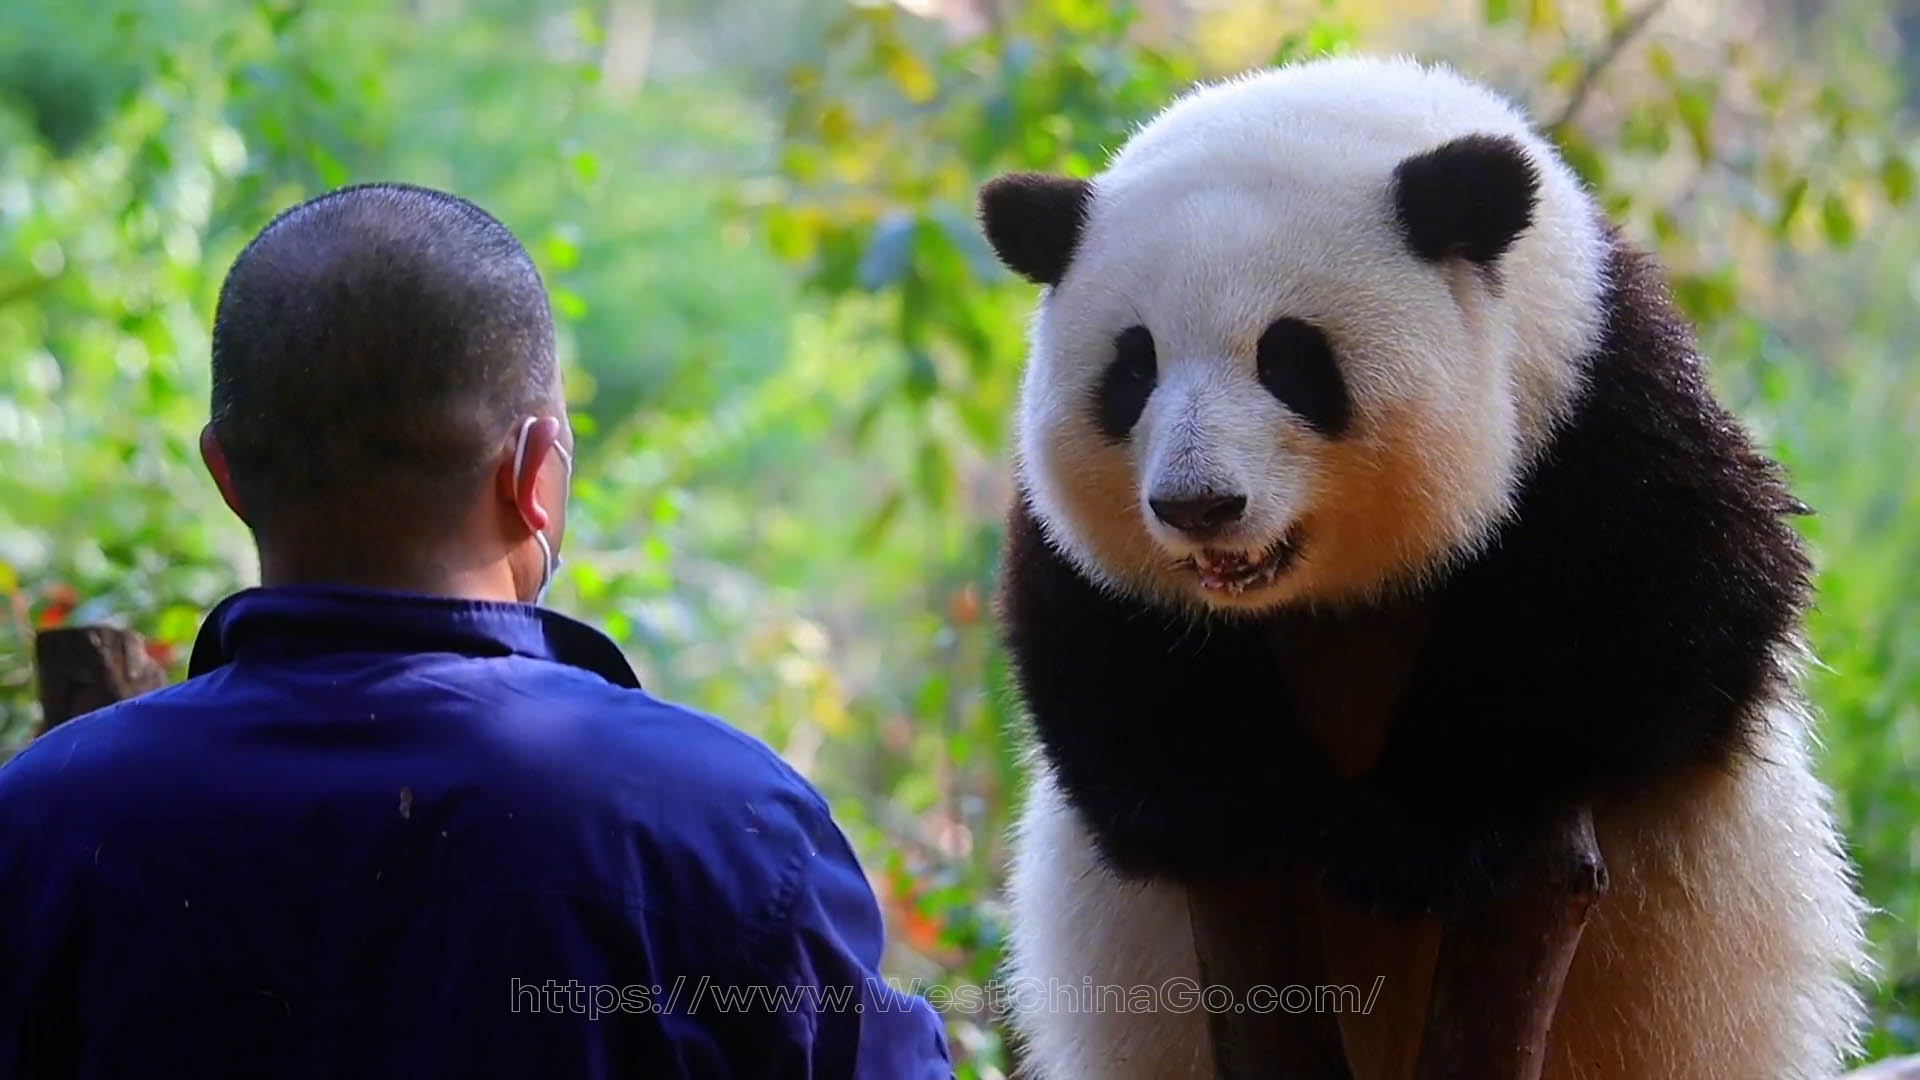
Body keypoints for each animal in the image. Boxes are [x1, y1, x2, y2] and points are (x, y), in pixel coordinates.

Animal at [983, 56, 1866, 1076]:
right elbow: (1102, 643)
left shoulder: (1595, 402)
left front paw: (1409, 842)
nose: (1198, 505)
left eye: (1291, 359)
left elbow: (1643, 618)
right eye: (1133, 370)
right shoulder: (1085, 549)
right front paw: (1231, 806)